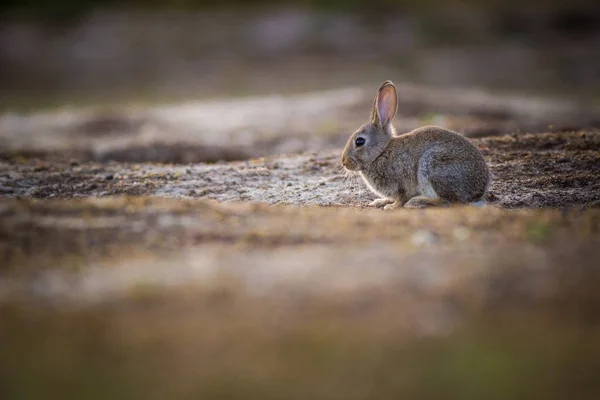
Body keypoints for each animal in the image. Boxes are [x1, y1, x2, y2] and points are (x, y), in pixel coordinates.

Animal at [340, 79, 490, 208]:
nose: (344, 162)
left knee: (450, 201)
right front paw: (379, 202)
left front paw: (391, 207)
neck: (381, 152)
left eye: (359, 141)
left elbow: (401, 198)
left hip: (433, 165)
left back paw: (417, 202)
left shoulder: (401, 183)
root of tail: (478, 190)